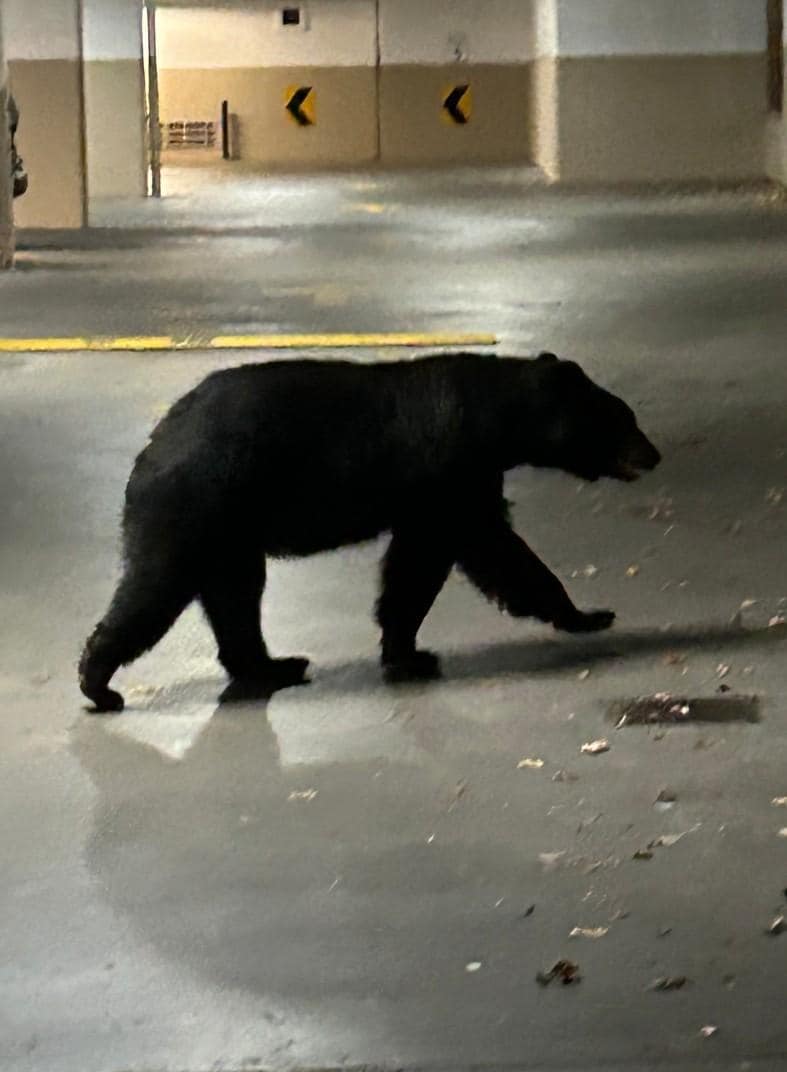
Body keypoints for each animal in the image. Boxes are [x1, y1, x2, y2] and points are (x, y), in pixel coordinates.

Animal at [79, 352, 660, 712]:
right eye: (623, 419)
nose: (653, 455)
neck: (493, 417)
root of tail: (154, 443)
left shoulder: (442, 488)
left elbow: (422, 561)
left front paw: (404, 648)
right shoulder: (450, 471)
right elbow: (481, 550)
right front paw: (586, 614)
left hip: (230, 530)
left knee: (236, 597)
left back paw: (274, 665)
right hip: (197, 504)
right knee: (156, 588)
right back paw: (98, 681)